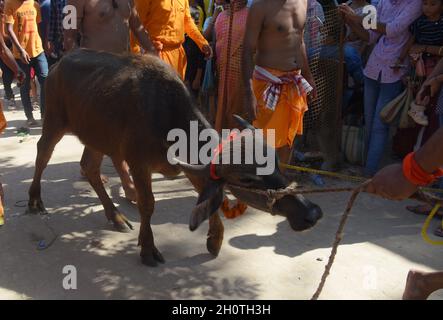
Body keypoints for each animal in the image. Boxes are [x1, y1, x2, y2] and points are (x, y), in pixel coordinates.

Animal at [28, 49, 322, 264]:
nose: (312, 212)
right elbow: (148, 205)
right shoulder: (138, 164)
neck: (169, 118)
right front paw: (148, 249)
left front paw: (214, 240)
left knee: (89, 167)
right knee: (43, 153)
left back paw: (116, 217)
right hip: (54, 121)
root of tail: (58, 65)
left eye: (276, 164)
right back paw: (34, 200)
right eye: (247, 179)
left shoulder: (192, 168)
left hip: (97, 137)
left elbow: (209, 197)